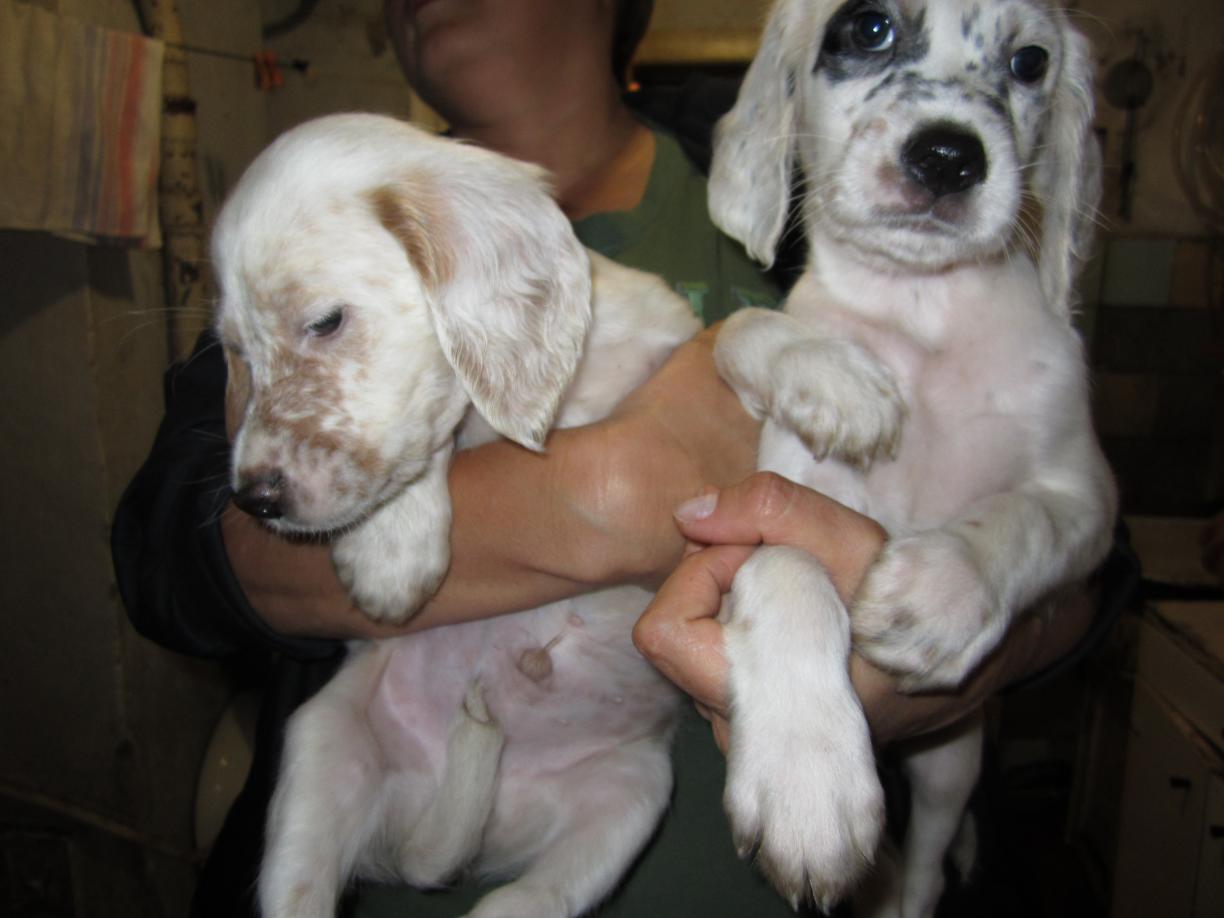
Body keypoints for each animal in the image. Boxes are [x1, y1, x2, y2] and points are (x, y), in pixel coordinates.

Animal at [212, 113, 699, 917]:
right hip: (321, 743)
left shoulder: (671, 337)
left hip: (629, 804)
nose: (254, 500)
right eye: (234, 351)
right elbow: (431, 435)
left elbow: (754, 335)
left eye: (324, 321)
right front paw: (390, 552)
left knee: (527, 900)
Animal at [706, 0, 1116, 914]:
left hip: (949, 760)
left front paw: (941, 589)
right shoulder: (768, 500)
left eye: (1030, 62)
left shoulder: (1089, 498)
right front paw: (809, 784)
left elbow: (1023, 517)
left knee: (926, 865)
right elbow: (786, 563)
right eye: (868, 29)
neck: (926, 313)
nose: (949, 156)